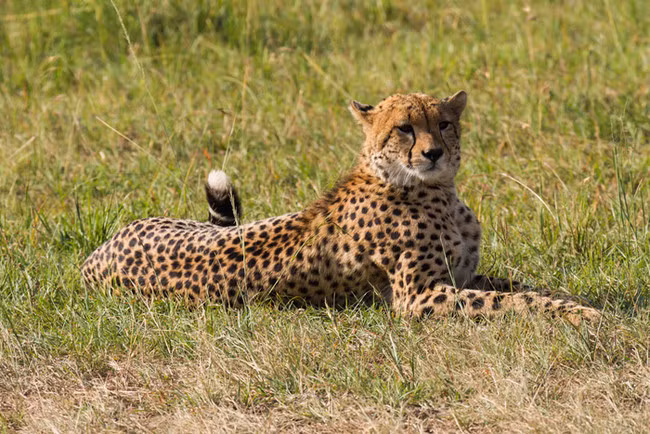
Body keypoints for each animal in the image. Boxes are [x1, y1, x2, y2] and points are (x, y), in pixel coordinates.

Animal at [82, 91, 600, 325]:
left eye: (444, 124)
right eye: (405, 128)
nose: (434, 153)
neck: (434, 190)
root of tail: (93, 257)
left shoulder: (461, 276)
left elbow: (521, 286)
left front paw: (576, 302)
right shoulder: (417, 298)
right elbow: (507, 301)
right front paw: (580, 316)